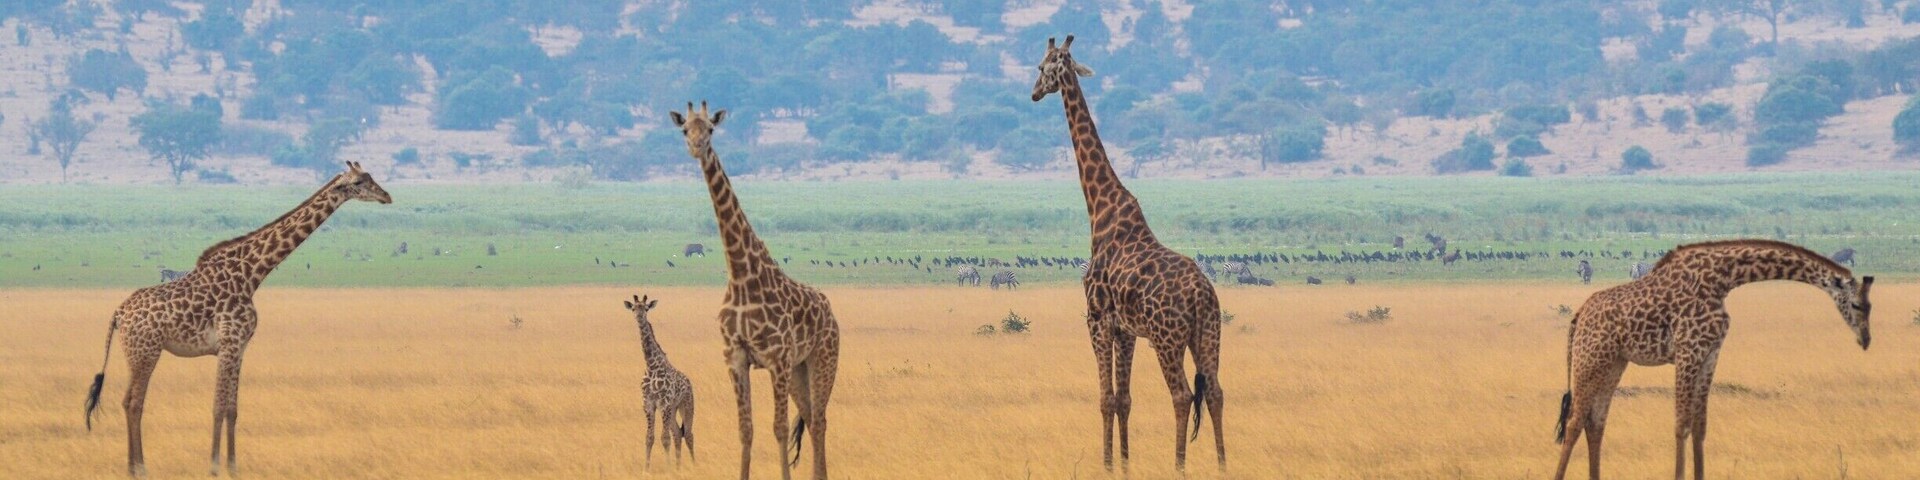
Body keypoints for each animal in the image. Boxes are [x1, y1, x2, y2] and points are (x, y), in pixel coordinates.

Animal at [82, 161, 391, 477]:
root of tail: (118, 313)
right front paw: (214, 466)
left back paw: (133, 467)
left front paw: (232, 465)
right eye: (359, 182)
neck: (251, 275)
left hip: (139, 352)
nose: (386, 196)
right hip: (145, 352)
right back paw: (139, 468)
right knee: (133, 402)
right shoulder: (229, 344)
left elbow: (232, 409)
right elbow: (218, 406)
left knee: (128, 402)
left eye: (371, 177)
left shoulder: (240, 347)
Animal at [624, 294, 696, 468]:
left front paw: (668, 468)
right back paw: (678, 467)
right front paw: (647, 468)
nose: (639, 317)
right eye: (634, 308)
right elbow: (649, 437)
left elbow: (664, 438)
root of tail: (689, 382)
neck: (651, 366)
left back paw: (694, 465)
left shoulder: (664, 403)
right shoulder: (648, 403)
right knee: (677, 433)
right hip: (673, 408)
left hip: (685, 405)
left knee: (688, 434)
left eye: (646, 308)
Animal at [671, 102, 841, 480]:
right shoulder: (736, 358)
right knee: (811, 418)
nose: (697, 147)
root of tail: (830, 311)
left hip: (823, 359)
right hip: (799, 369)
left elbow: (778, 428)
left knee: (821, 420)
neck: (740, 275)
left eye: (711, 129)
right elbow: (745, 429)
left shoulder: (776, 359)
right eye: (685, 129)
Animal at [1030, 35, 1225, 471]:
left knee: (1183, 395)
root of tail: (1201, 295)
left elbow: (1105, 399)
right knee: (1216, 392)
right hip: (1208, 334)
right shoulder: (1127, 331)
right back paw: (1224, 465)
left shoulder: (1097, 320)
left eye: (1042, 66)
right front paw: (1123, 464)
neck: (1100, 213)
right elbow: (1125, 400)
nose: (1033, 93)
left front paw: (1106, 465)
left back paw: (1179, 466)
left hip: (1168, 338)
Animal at [1551, 239, 1874, 480]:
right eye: (1857, 304)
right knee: (1574, 422)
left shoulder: (1710, 354)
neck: (1722, 280)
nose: (1866, 340)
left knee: (1596, 422)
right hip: (1590, 359)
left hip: (1613, 363)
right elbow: (1681, 424)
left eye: (1871, 305)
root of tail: (1577, 317)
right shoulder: (1688, 350)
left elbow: (1699, 427)